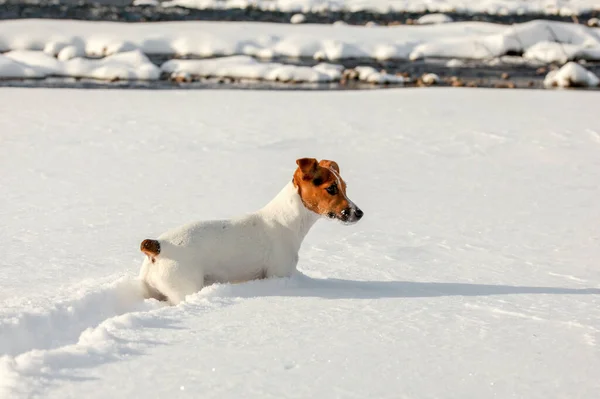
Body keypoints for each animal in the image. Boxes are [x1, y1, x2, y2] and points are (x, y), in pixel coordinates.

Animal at [138, 158, 364, 304]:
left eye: (344, 187)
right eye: (331, 188)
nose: (359, 213)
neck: (285, 220)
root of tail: (157, 246)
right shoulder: (277, 273)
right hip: (184, 287)